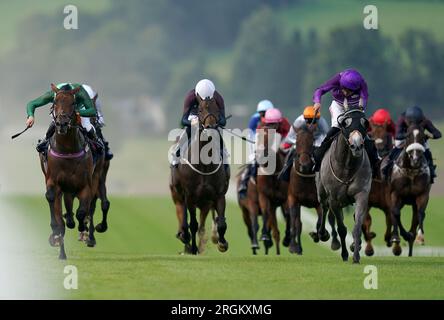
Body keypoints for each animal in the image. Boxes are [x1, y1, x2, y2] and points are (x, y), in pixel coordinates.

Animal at [169, 96, 229, 254]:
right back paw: (185, 240)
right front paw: (193, 248)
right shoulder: (189, 195)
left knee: (202, 225)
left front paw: (222, 243)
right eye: (200, 110)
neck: (204, 164)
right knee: (183, 217)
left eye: (217, 109)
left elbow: (221, 223)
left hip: (204, 203)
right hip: (178, 194)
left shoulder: (219, 195)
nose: (210, 127)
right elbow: (192, 224)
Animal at [314, 109, 372, 264]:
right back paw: (322, 234)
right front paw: (345, 254)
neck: (347, 167)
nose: (356, 146)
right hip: (322, 191)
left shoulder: (361, 194)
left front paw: (356, 255)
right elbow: (341, 228)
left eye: (364, 124)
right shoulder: (334, 199)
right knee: (324, 208)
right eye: (346, 124)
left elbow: (357, 226)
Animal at [388, 124, 430, 256]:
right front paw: (398, 236)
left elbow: (421, 213)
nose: (415, 159)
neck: (411, 171)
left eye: (423, 137)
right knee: (393, 213)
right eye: (408, 136)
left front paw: (420, 237)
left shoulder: (423, 193)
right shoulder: (395, 194)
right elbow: (396, 213)